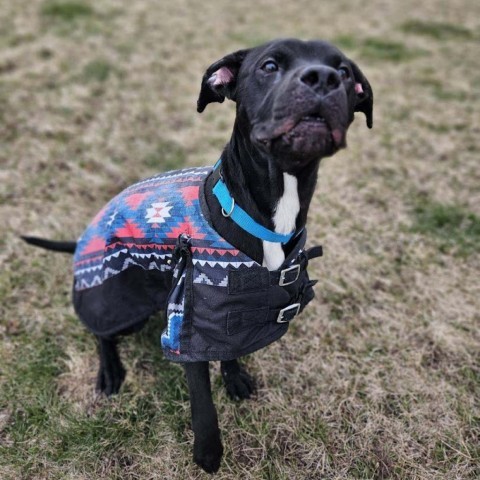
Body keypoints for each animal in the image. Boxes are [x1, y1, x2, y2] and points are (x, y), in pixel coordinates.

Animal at [24, 38, 374, 472]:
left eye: (343, 72)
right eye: (269, 65)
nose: (323, 78)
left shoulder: (230, 309)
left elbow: (230, 347)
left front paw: (234, 377)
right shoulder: (188, 322)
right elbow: (204, 409)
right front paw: (208, 455)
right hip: (120, 303)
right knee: (101, 331)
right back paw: (109, 371)